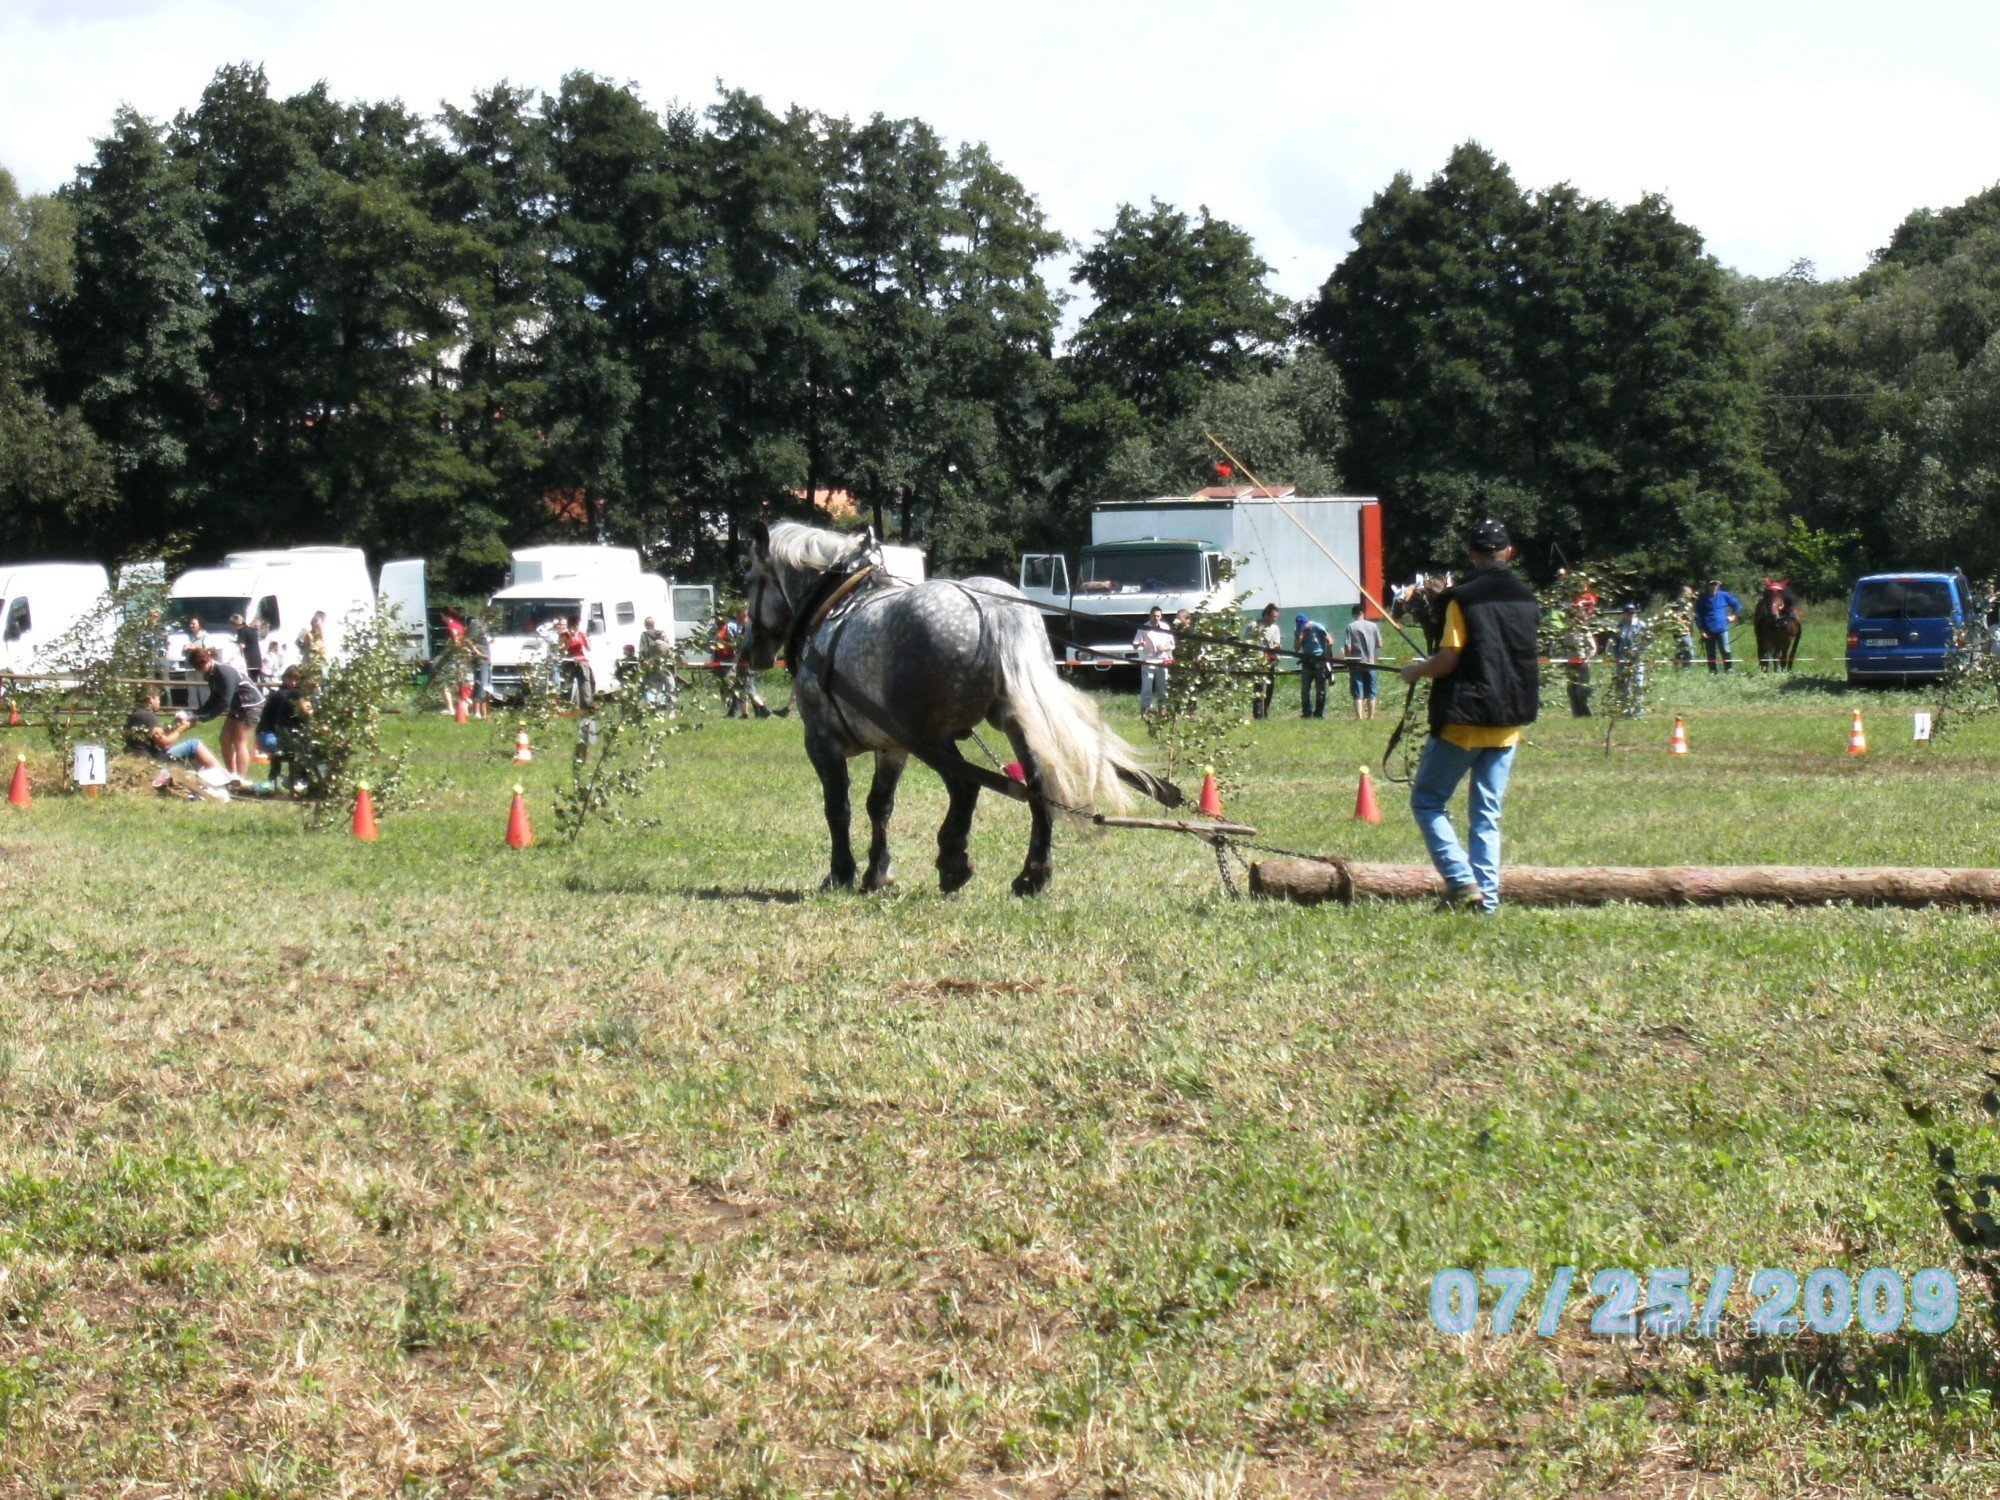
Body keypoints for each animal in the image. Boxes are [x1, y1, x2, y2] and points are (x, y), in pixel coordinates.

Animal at [740, 524, 1176, 900]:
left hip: (930, 737)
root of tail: (994, 607)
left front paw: (841, 873)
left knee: (966, 787)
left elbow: (838, 808)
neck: (836, 606)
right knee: (1037, 786)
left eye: (750, 579)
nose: (749, 653)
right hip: (1012, 723)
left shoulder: (822, 740)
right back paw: (1032, 874)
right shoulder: (892, 747)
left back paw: (953, 863)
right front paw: (877, 873)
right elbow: (879, 806)